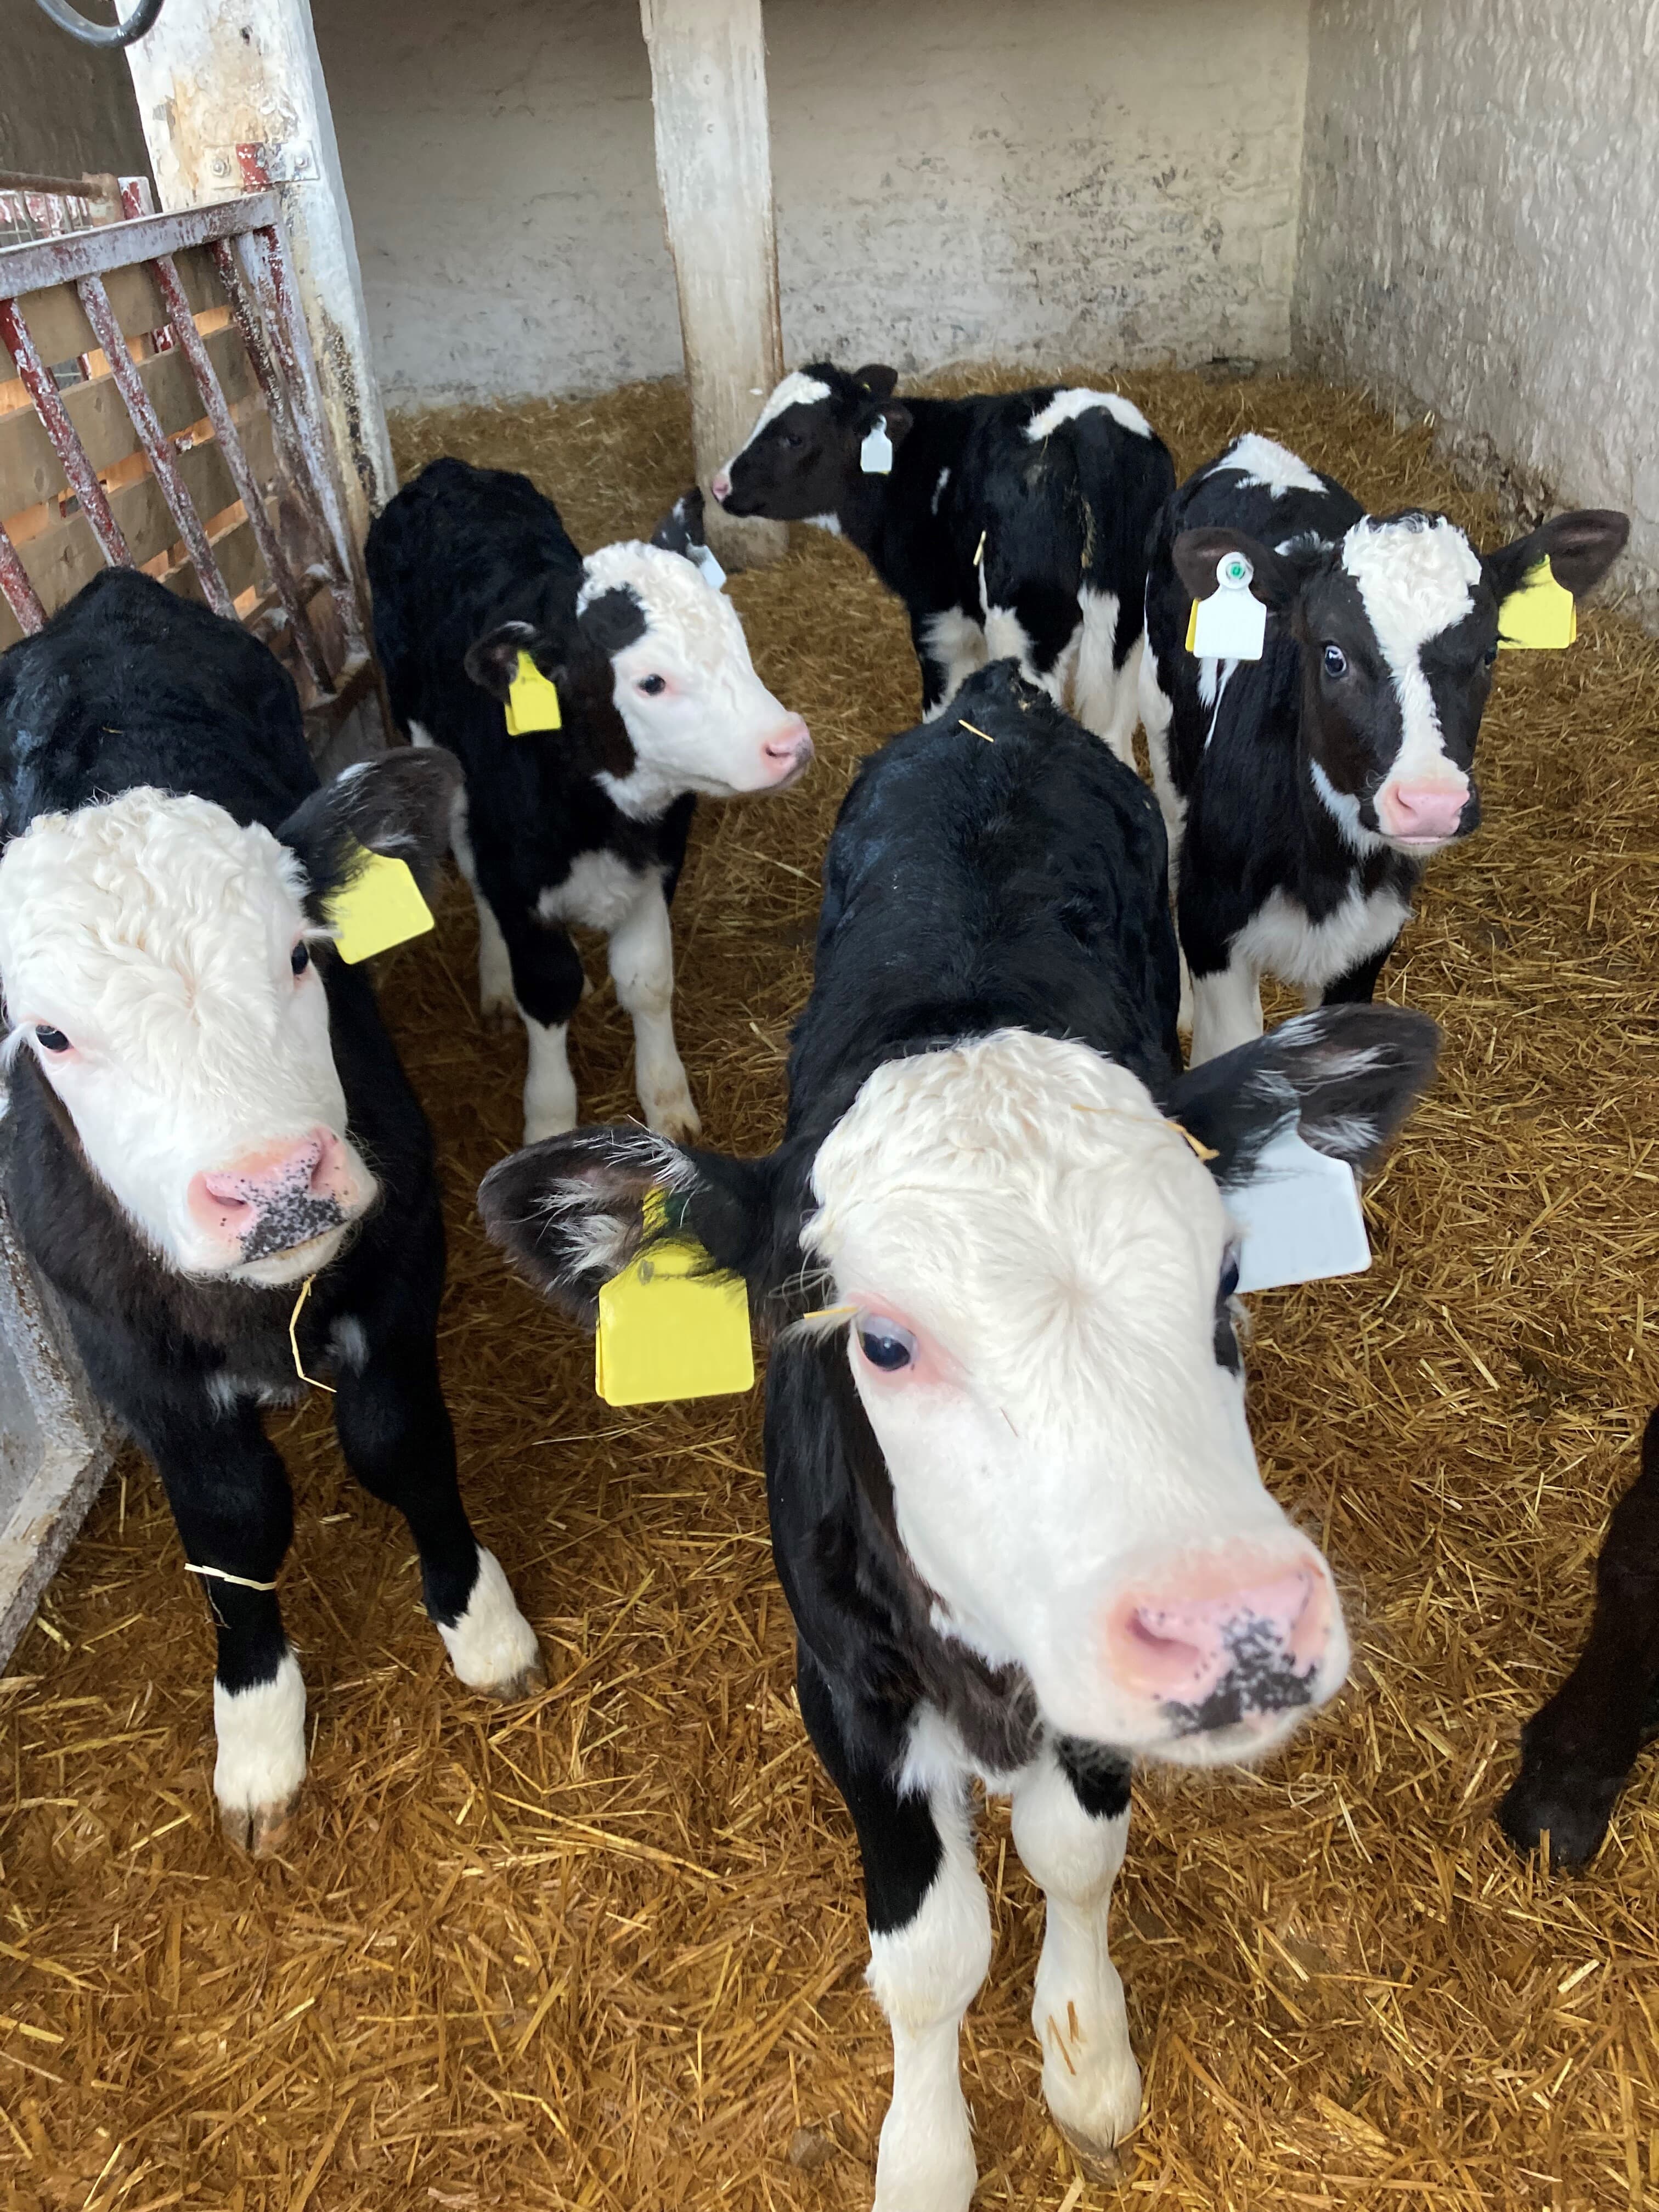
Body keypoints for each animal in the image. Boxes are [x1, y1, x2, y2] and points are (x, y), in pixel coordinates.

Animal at [0, 569, 543, 1854]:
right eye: (51, 1034)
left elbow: (398, 1442)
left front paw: (480, 1623)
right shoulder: (121, 1346)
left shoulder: (402, 1248)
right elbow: (232, 1519)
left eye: (303, 956)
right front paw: (254, 1732)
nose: (275, 1184)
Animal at [367, 458, 814, 1148]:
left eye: (735, 636)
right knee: (472, 874)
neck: (599, 813)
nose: (789, 743)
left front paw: (667, 1101)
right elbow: (549, 990)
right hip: (434, 750)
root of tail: (448, 473)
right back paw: (495, 980)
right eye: (650, 682)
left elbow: (647, 980)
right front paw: (549, 1121)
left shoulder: (658, 862)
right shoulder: (518, 877)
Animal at [478, 661, 1438, 2207]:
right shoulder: (842, 1684)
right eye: (879, 1339)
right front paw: (926, 2154)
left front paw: (1087, 2055)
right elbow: (929, 1958)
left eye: (1225, 1275)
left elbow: (1076, 1856)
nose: (1236, 1625)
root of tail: (998, 700)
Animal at [711, 363, 1175, 762]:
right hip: (1129, 635)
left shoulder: (936, 616)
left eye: (794, 438)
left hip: (1027, 627)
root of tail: (1090, 431)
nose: (720, 485)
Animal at [1139, 433, 1628, 1065]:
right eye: (1333, 655)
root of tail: (1255, 446)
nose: (1430, 802)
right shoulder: (1213, 924)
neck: (1329, 871)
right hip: (1163, 727)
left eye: (1488, 655)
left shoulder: (1367, 946)